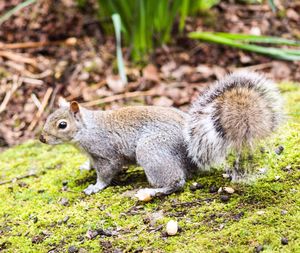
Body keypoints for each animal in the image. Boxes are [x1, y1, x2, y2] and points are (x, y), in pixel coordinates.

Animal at [39, 72, 284, 197]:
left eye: (62, 125)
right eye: (48, 116)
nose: (42, 138)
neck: (86, 129)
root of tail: (191, 147)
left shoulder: (105, 152)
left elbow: (107, 173)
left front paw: (95, 187)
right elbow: (90, 164)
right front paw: (84, 168)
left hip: (152, 150)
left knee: (177, 182)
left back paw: (151, 191)